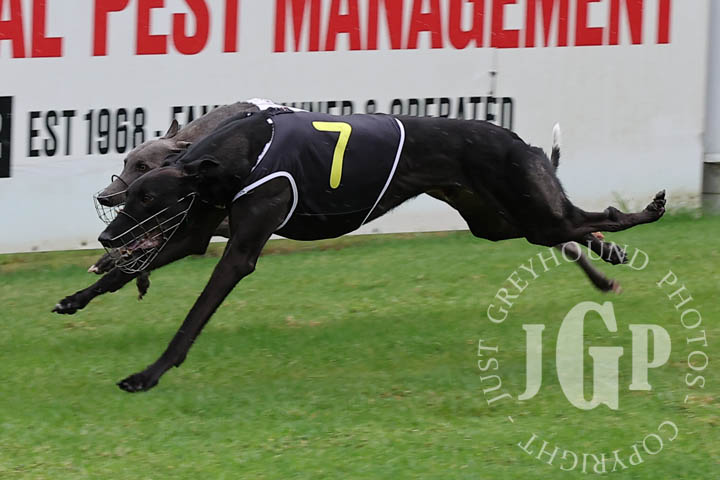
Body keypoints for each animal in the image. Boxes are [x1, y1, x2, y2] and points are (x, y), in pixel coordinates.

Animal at [96, 109, 666, 392]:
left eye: (148, 195)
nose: (105, 235)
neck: (242, 151)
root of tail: (520, 142)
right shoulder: (195, 230)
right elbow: (129, 272)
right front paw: (87, 296)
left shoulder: (238, 251)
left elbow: (192, 317)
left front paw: (146, 375)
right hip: (501, 222)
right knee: (574, 229)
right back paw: (612, 254)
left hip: (529, 212)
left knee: (593, 217)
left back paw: (647, 212)